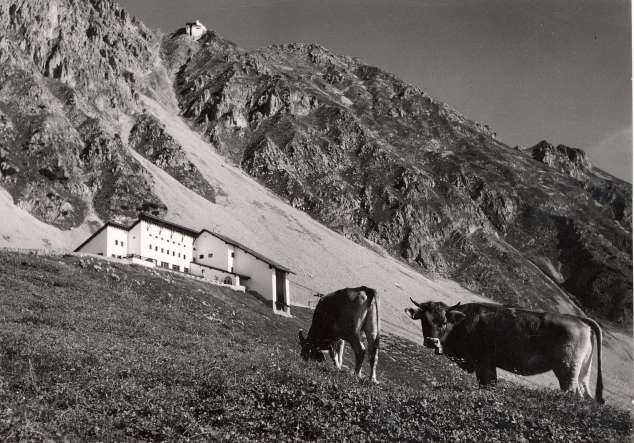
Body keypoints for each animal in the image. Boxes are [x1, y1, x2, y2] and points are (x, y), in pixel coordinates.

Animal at [404, 300, 604, 404]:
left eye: (444, 321)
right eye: (424, 320)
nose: (432, 341)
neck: (462, 323)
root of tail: (578, 319)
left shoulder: (483, 363)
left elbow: (488, 385)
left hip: (567, 370)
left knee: (572, 393)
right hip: (582, 372)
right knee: (585, 395)